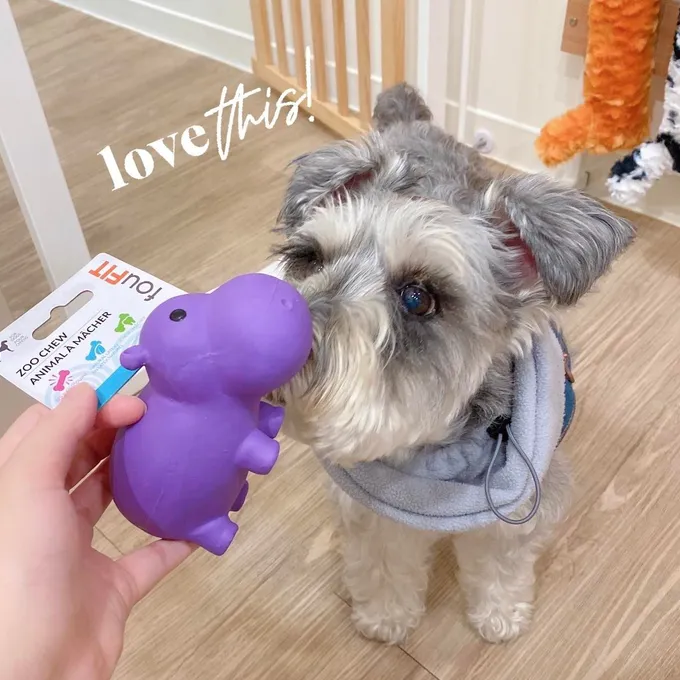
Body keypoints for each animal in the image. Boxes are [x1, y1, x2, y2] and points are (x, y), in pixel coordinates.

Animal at [269, 83, 635, 645]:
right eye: (309, 257)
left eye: (418, 298)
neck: (431, 445)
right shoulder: (373, 511)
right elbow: (383, 562)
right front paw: (386, 615)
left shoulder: (517, 512)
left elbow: (501, 566)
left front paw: (500, 614)